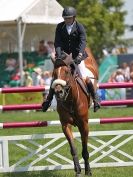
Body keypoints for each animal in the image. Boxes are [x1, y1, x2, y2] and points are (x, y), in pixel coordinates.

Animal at [51, 47, 98, 176]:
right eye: (53, 74)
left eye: (67, 72)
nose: (58, 92)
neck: (71, 100)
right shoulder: (65, 125)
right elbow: (73, 148)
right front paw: (77, 170)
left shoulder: (84, 125)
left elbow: (85, 150)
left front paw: (88, 170)